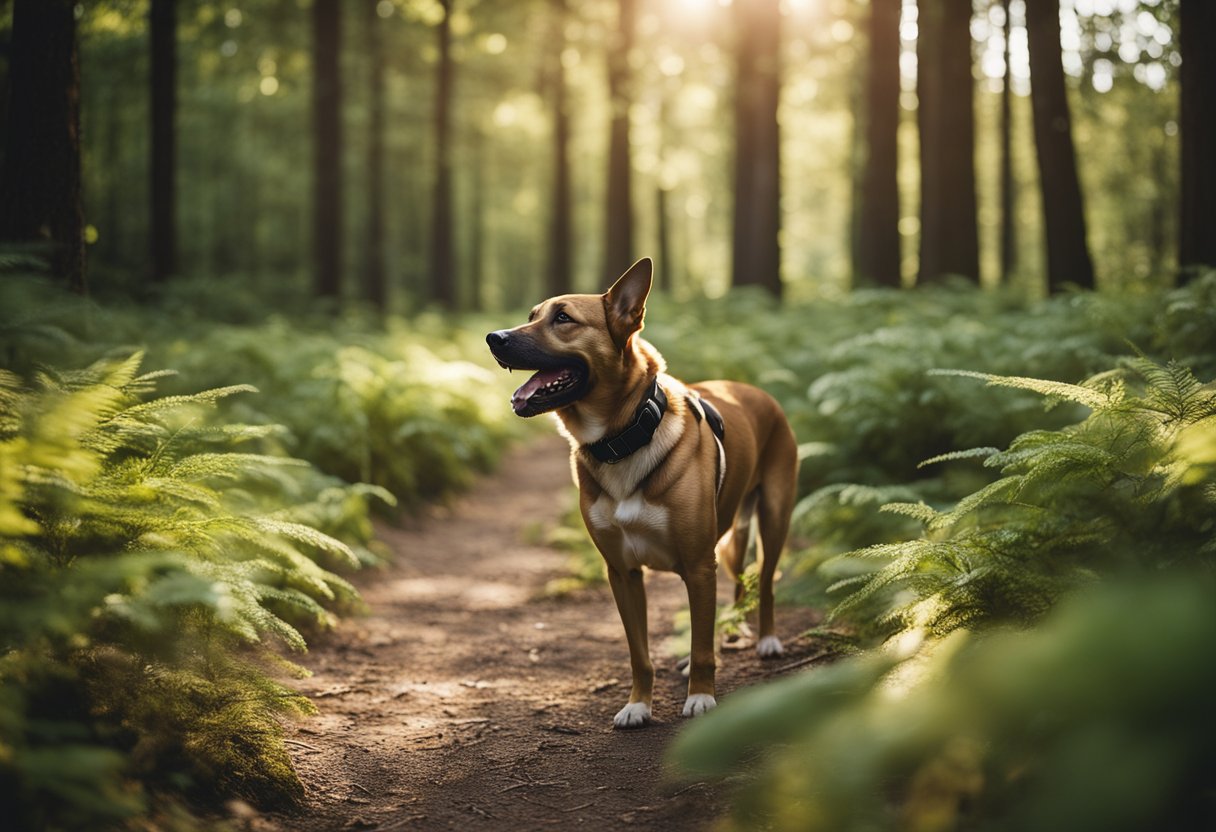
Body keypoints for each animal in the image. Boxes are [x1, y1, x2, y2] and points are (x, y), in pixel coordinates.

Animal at [483, 257, 797, 729]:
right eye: (532, 315)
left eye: (563, 318)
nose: (493, 338)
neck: (622, 440)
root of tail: (750, 388)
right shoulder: (623, 573)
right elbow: (640, 654)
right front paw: (639, 705)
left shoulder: (699, 567)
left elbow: (700, 647)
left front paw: (700, 696)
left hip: (772, 518)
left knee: (765, 582)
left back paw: (768, 640)